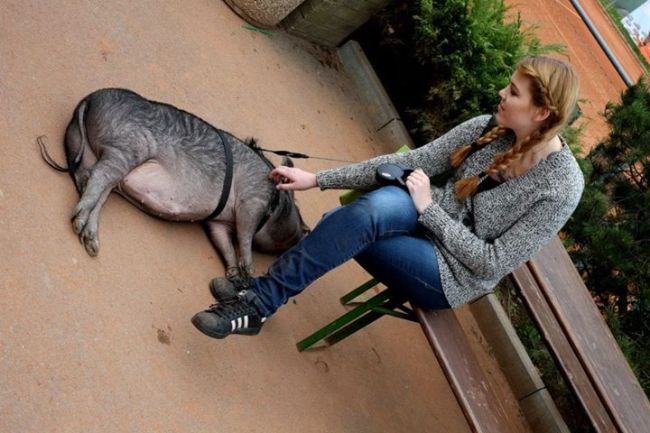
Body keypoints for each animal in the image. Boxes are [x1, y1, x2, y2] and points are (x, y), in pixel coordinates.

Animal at [39, 88, 310, 285]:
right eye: (296, 209)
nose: (307, 230)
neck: (274, 202)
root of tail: (88, 100)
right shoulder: (253, 199)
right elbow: (245, 237)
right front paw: (248, 272)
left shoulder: (216, 222)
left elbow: (224, 244)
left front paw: (233, 274)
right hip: (127, 146)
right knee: (99, 176)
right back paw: (78, 224)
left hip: (88, 153)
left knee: (94, 185)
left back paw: (92, 243)